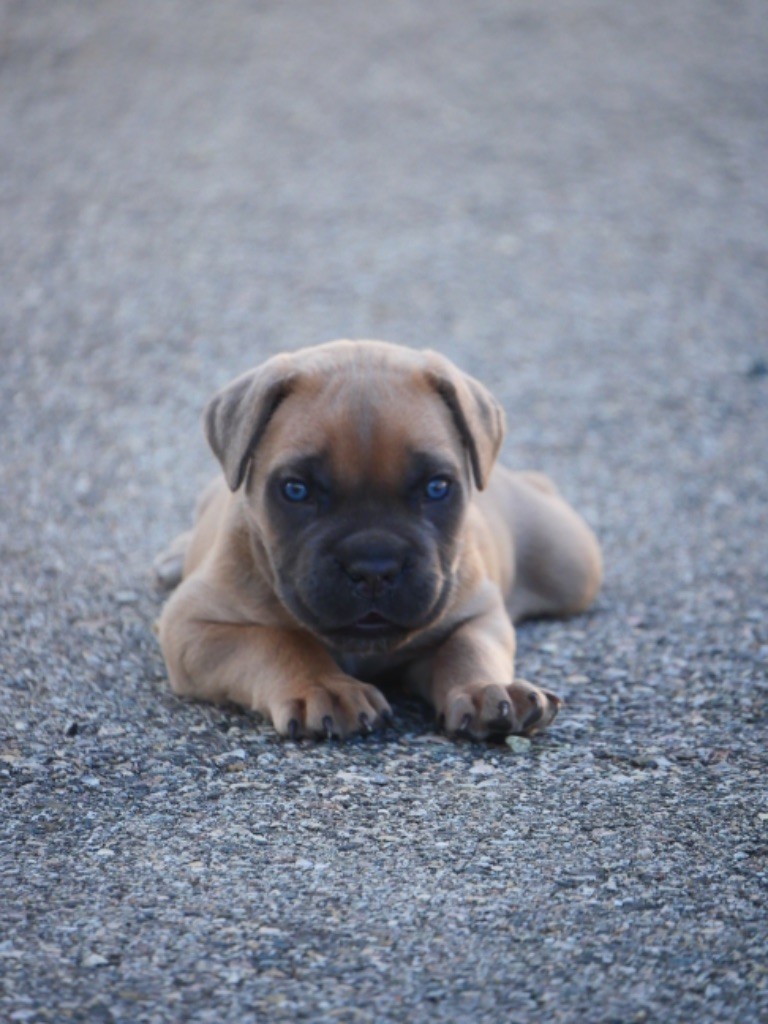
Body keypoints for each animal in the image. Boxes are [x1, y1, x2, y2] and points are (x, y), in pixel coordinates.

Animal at [154, 339, 602, 741]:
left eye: (437, 488)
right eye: (296, 490)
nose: (373, 568)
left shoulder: (478, 611)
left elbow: (467, 647)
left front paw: (484, 691)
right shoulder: (192, 627)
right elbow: (279, 640)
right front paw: (325, 687)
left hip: (573, 566)